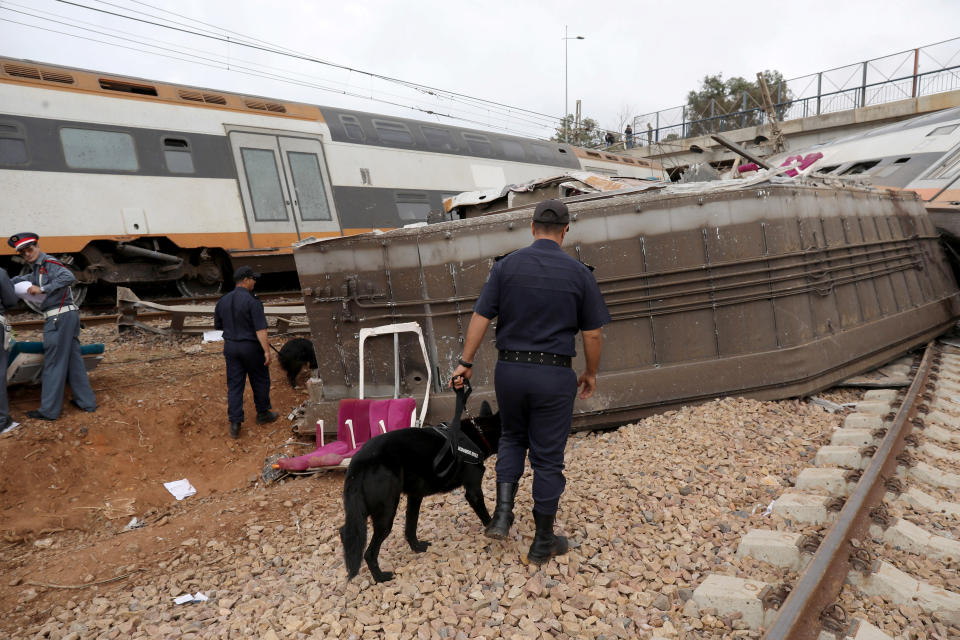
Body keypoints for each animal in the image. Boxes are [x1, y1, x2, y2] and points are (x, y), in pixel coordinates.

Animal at [340, 402, 502, 584]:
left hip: (363, 510)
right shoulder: (473, 491)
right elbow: (486, 517)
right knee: (369, 552)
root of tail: (359, 463)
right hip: (386, 511)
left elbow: (411, 525)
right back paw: (380, 577)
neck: (478, 434)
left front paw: (416, 547)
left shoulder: (415, 497)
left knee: (346, 532)